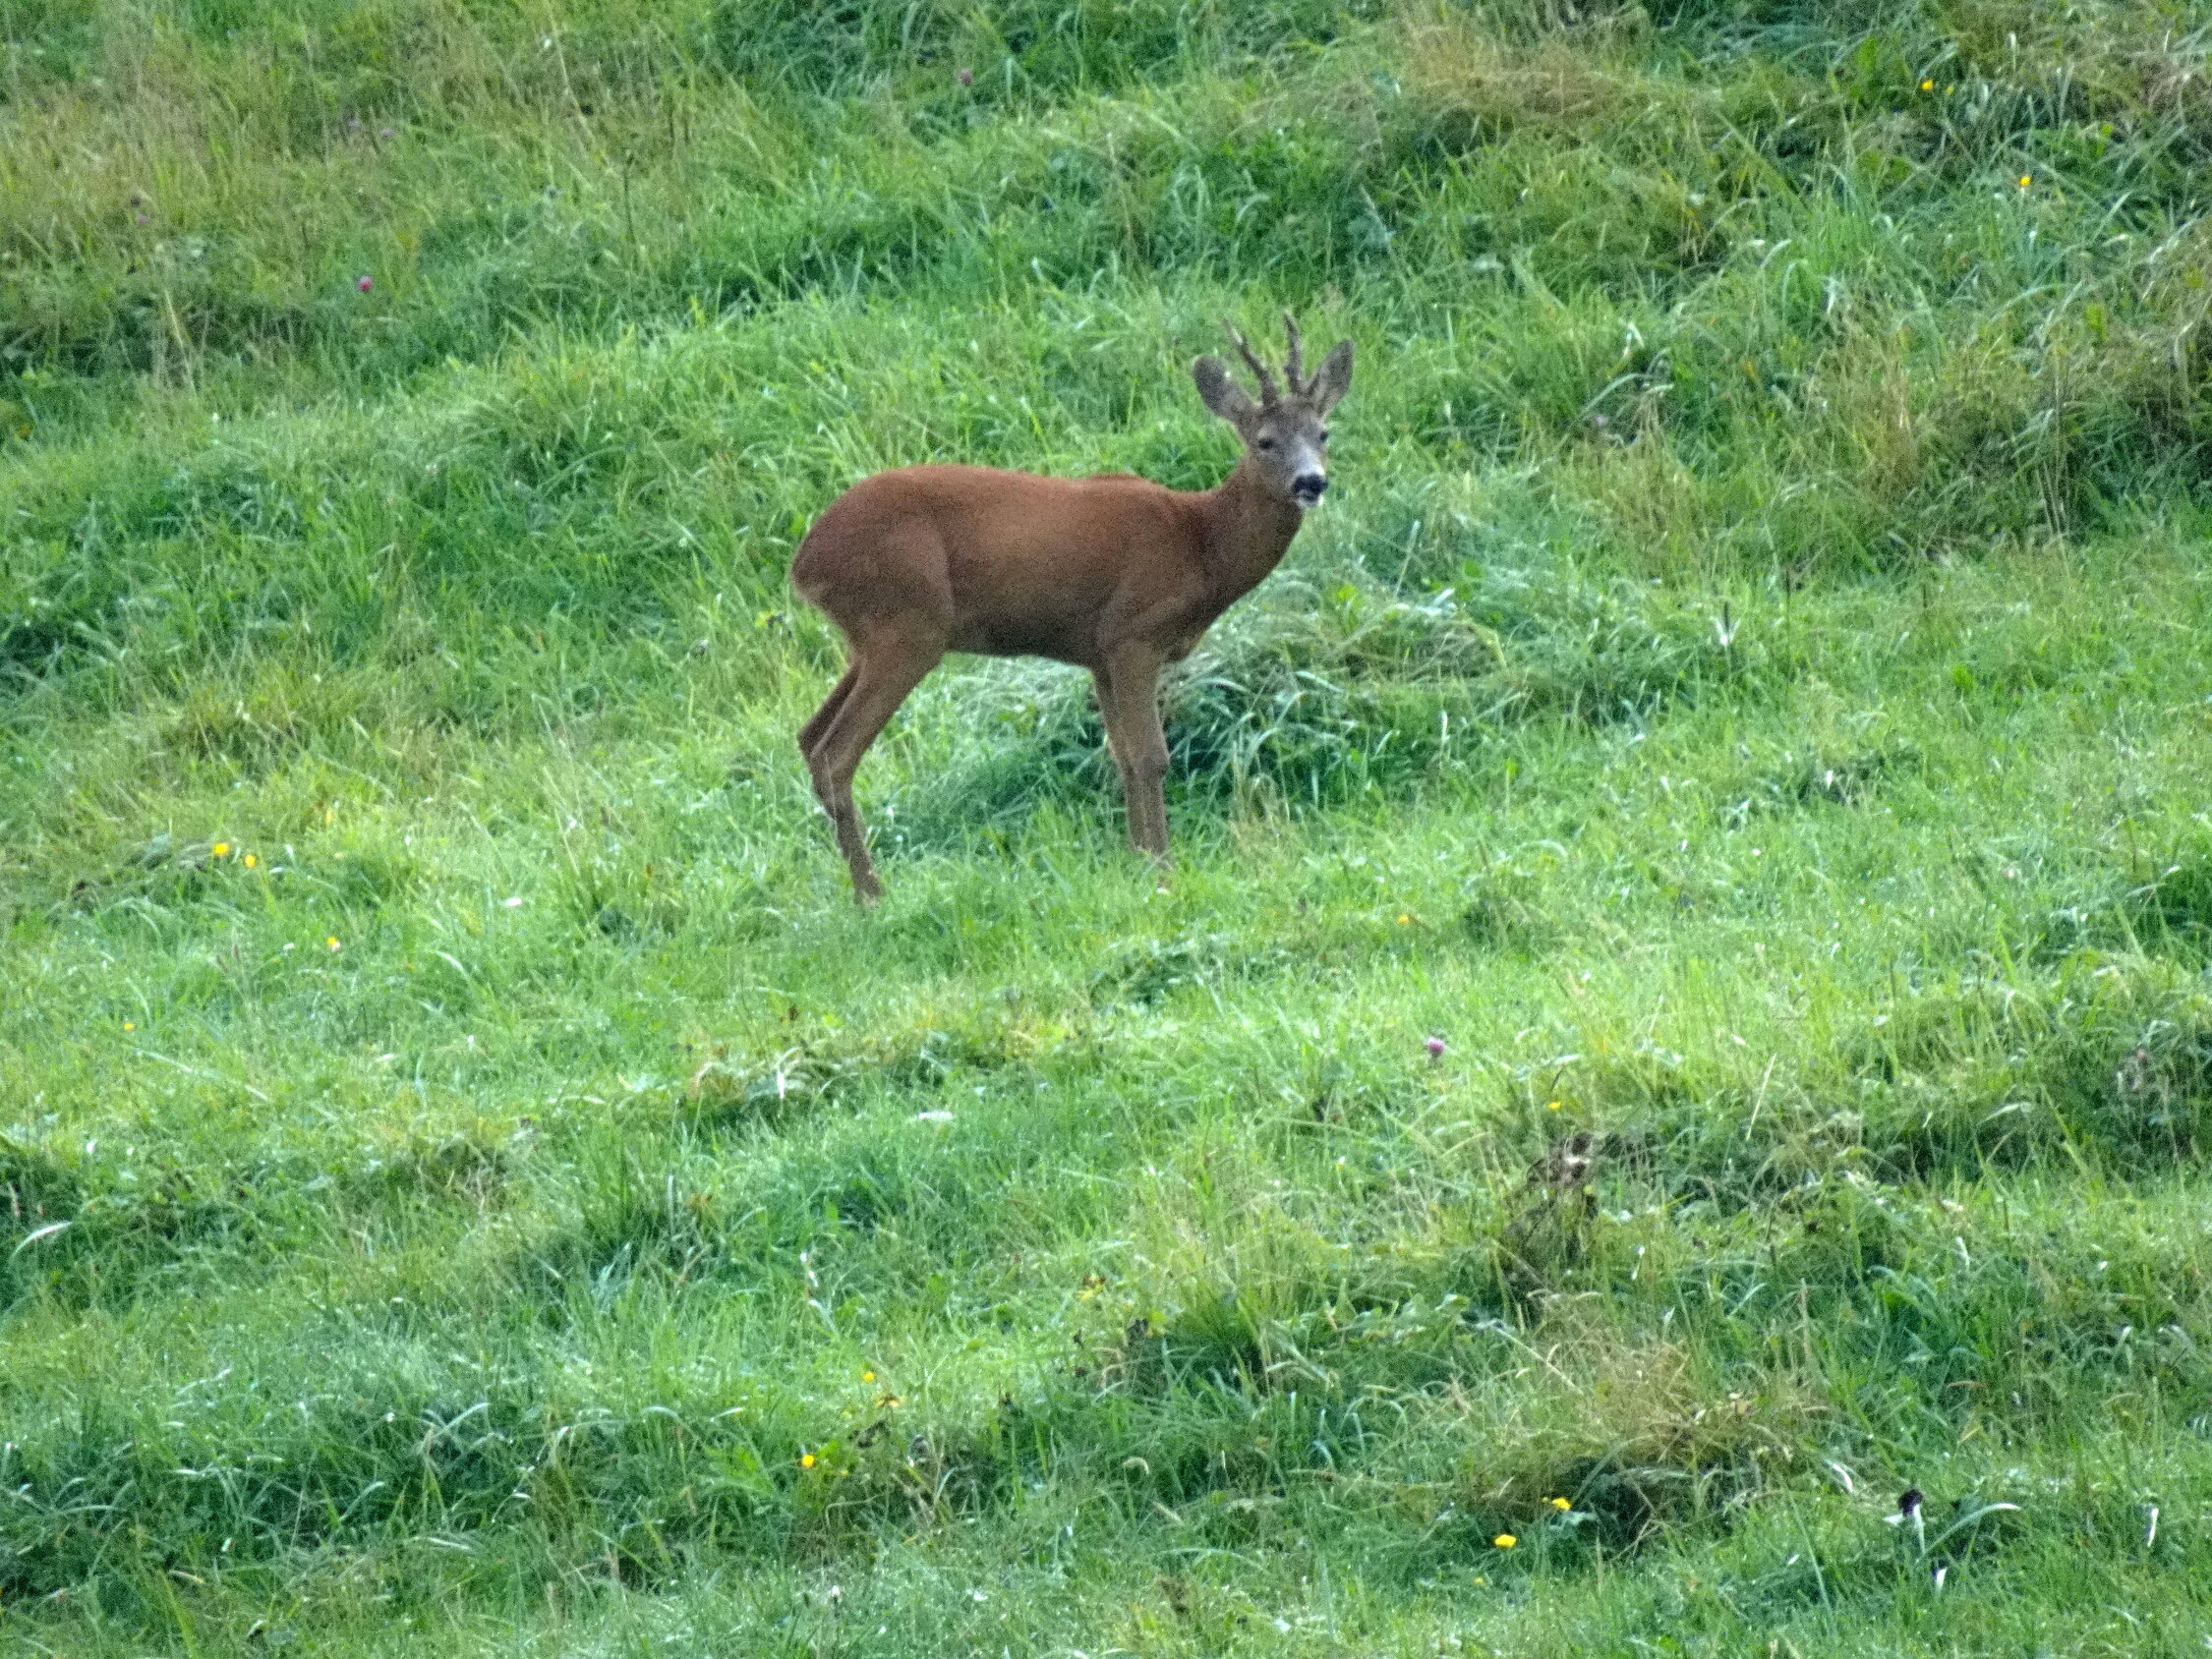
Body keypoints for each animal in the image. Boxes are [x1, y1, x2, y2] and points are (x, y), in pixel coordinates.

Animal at [789, 314, 1353, 903]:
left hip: (871, 636)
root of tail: (804, 564)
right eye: (1265, 441)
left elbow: (1121, 756)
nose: (1311, 482)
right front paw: (1163, 868)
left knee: (808, 736)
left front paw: (1137, 858)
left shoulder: (1098, 653)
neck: (1199, 544)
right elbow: (1151, 756)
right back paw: (871, 894)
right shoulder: (1135, 633)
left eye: (1323, 433)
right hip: (907, 625)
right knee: (835, 751)